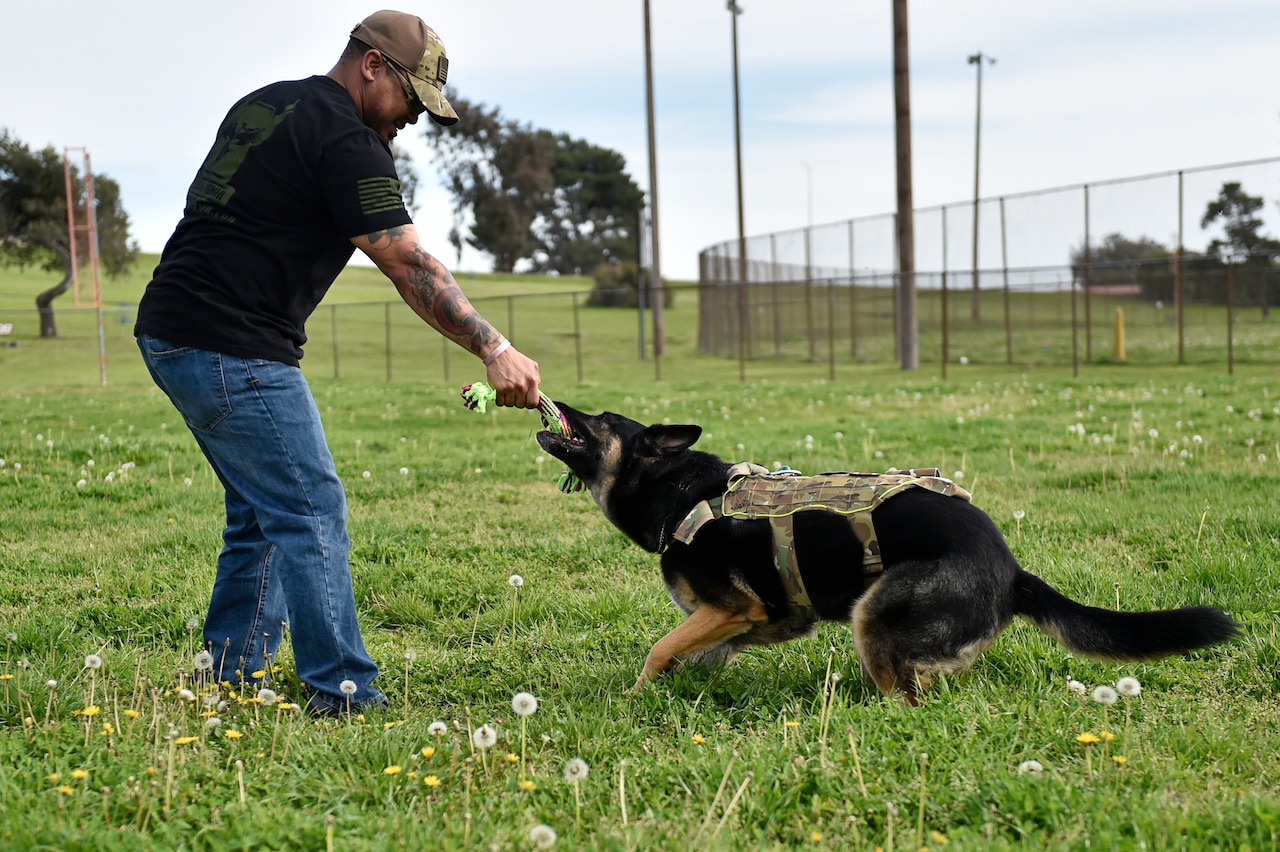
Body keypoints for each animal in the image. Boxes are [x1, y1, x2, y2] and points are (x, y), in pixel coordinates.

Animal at [537, 401, 1239, 701]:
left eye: (601, 421)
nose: (557, 402)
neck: (674, 489)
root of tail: (1012, 571)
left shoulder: (734, 610)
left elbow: (659, 650)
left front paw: (631, 702)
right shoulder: (740, 624)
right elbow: (690, 657)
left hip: (873, 612)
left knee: (908, 699)